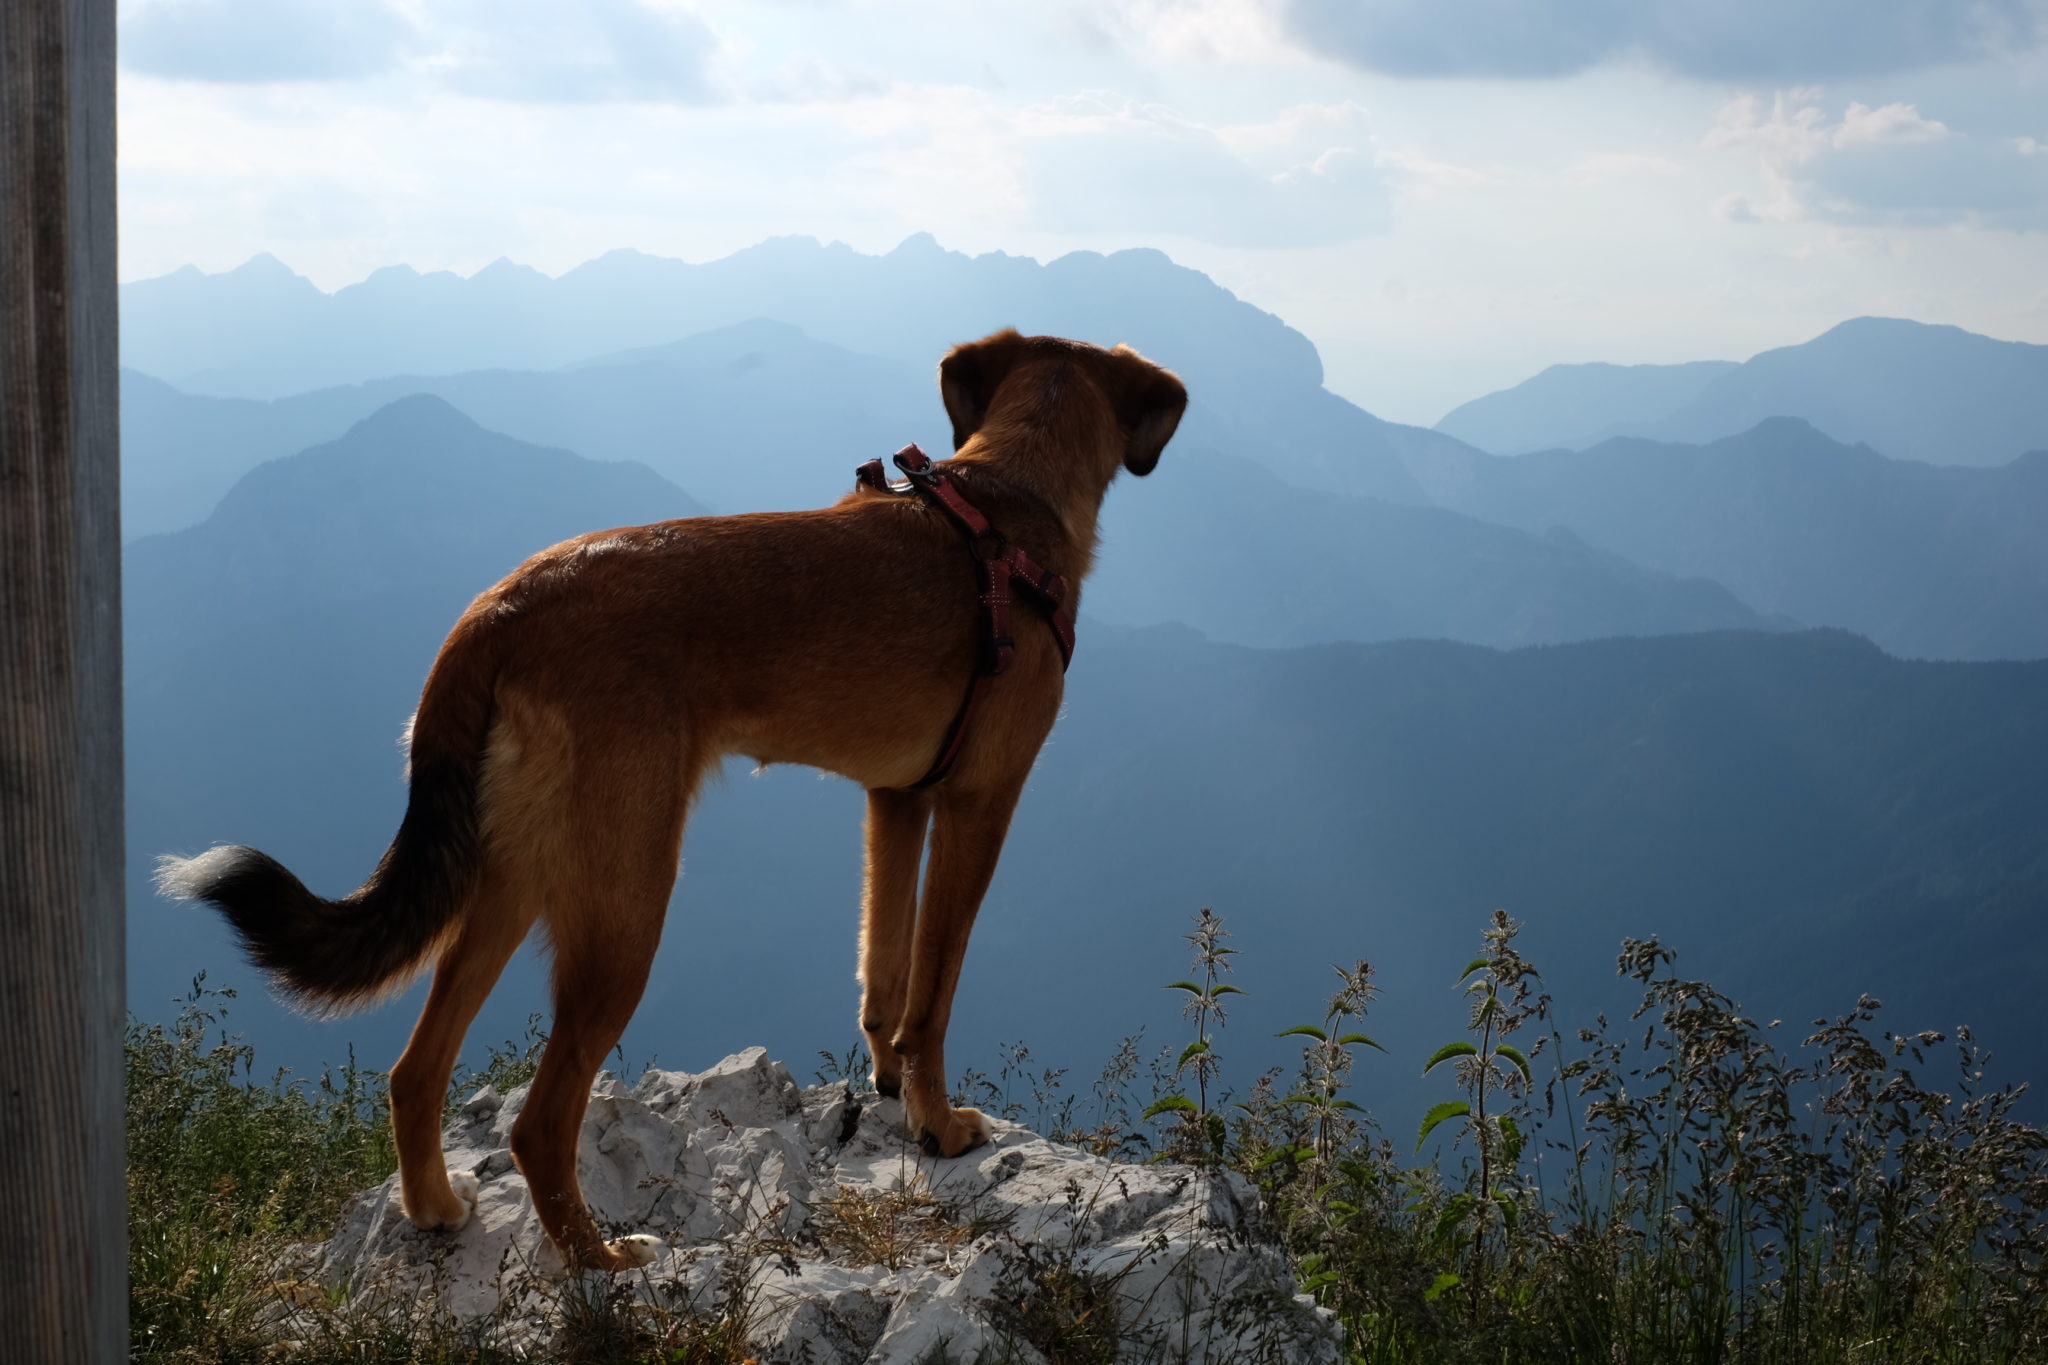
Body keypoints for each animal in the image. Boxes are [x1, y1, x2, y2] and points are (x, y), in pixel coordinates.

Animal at [155, 327, 1187, 1268]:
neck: (1009, 504)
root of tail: (499, 610)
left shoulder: (895, 799)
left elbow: (883, 969)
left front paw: (891, 1082)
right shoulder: (982, 802)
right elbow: (935, 986)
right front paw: (938, 1121)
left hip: (511, 878)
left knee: (415, 1070)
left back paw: (437, 1208)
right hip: (624, 909)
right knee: (538, 1120)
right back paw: (602, 1259)